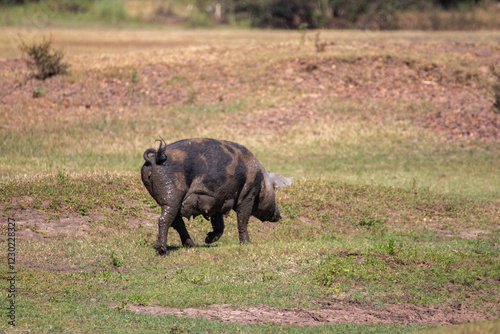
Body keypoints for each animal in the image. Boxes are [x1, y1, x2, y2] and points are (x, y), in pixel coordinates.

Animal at [142, 138, 292, 256]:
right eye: (274, 189)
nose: (279, 216)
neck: (260, 179)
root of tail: (154, 159)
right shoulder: (248, 194)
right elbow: (243, 219)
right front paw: (248, 243)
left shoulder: (218, 200)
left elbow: (219, 224)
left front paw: (208, 240)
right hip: (172, 193)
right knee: (164, 220)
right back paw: (163, 251)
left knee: (176, 222)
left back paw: (193, 245)